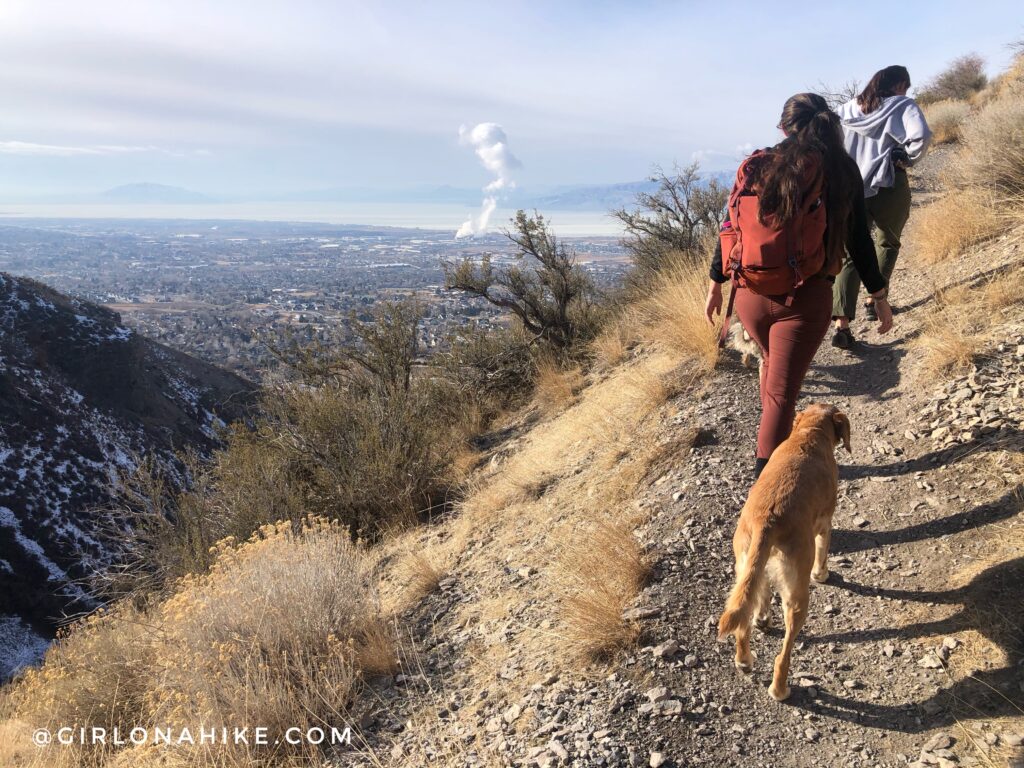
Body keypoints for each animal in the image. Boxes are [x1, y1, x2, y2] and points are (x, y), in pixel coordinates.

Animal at [716, 405, 851, 700]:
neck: (809, 432)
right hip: (797, 593)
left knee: (744, 622)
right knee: (784, 653)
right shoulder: (825, 525)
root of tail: (767, 520)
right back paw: (780, 689)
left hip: (746, 565)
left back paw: (744, 659)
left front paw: (763, 618)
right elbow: (823, 554)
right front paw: (822, 575)